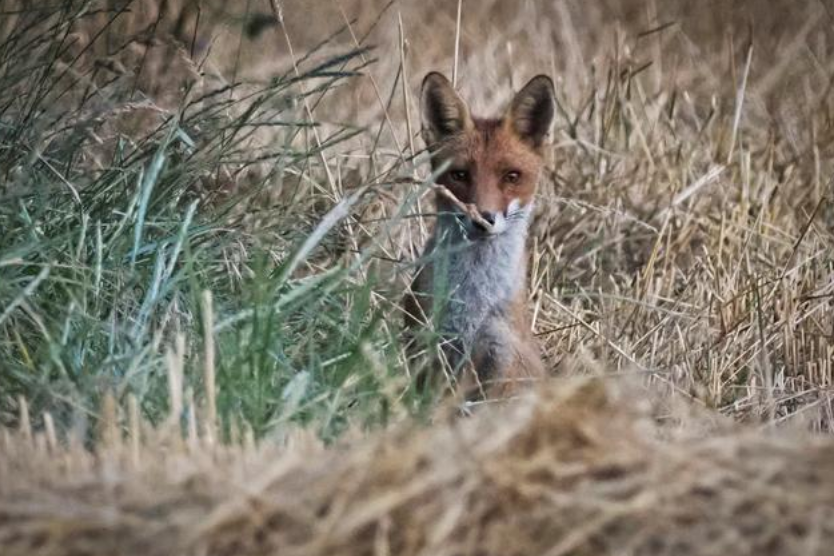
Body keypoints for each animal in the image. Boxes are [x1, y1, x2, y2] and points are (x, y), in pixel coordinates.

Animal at [404, 72, 555, 400]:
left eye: (512, 176)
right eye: (459, 175)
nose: (483, 219)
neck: (473, 304)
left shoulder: (500, 354)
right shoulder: (432, 344)